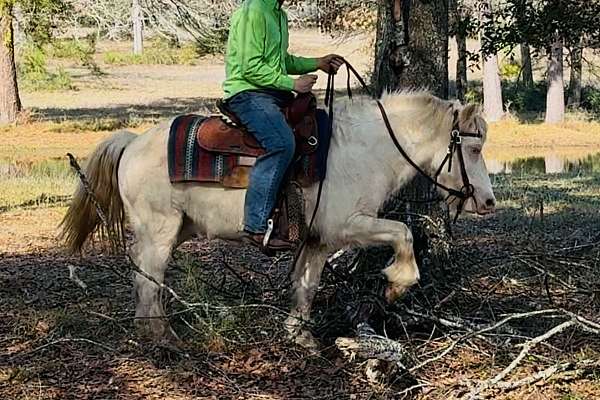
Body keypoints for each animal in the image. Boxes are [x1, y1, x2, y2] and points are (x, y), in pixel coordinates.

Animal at [61, 92, 494, 348]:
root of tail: (133, 141)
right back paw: (161, 336)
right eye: (473, 149)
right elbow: (403, 233)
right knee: (147, 277)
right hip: (159, 231)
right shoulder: (348, 225)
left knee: (142, 273)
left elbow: (306, 284)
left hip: (177, 229)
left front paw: (299, 334)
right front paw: (395, 284)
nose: (488, 201)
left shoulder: (319, 240)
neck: (363, 150)